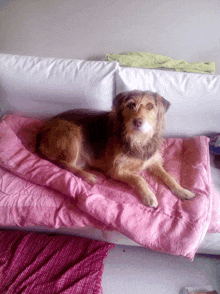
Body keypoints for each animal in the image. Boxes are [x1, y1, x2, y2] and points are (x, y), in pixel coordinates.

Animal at [36, 90, 196, 208]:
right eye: (131, 105)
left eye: (150, 106)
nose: (137, 122)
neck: (138, 140)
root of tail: (42, 130)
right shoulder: (116, 170)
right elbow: (139, 178)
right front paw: (149, 196)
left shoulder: (153, 162)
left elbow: (169, 176)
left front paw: (182, 191)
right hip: (72, 131)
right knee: (63, 163)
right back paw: (88, 175)